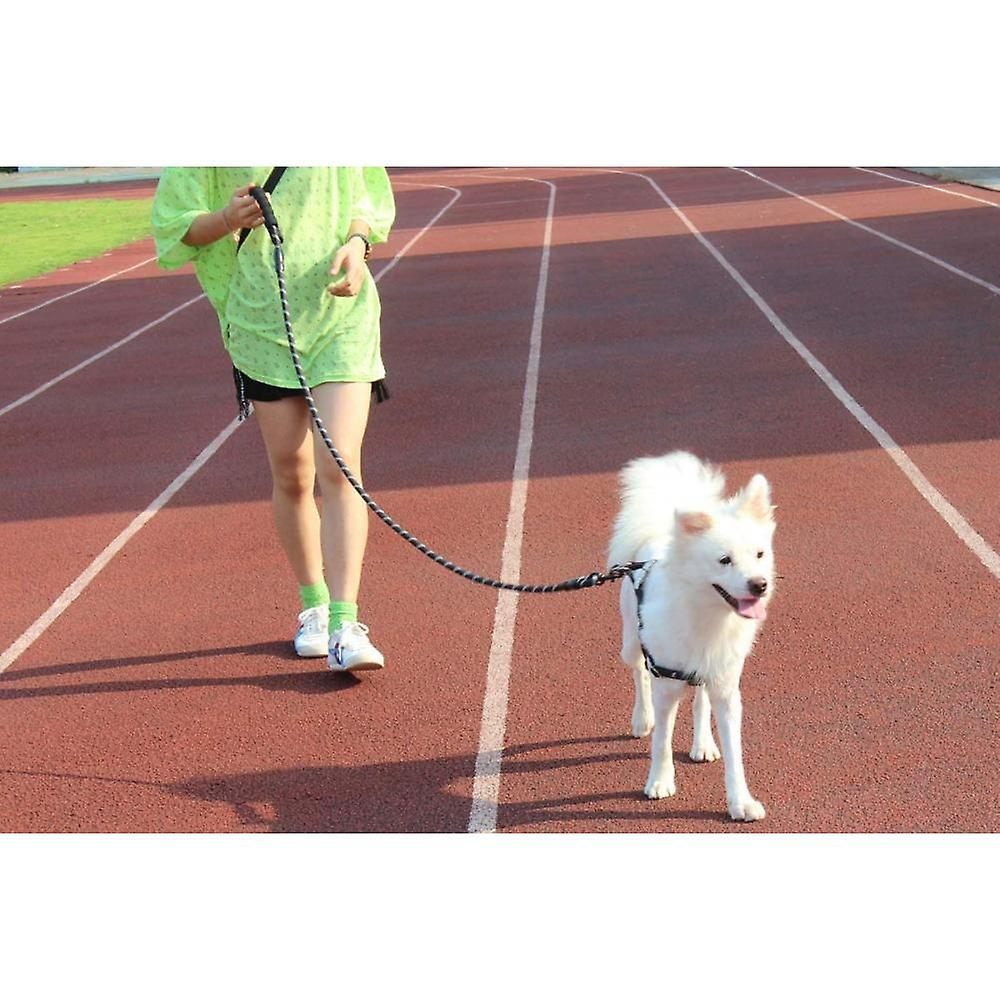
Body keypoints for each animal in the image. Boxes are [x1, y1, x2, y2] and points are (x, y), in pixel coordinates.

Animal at [608, 454, 772, 820]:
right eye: (724, 560)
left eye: (760, 555)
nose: (760, 584)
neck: (709, 615)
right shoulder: (666, 685)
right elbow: (662, 740)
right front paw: (659, 781)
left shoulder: (726, 685)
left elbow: (734, 752)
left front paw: (741, 801)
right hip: (631, 642)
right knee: (638, 674)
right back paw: (641, 719)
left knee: (700, 699)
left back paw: (703, 744)